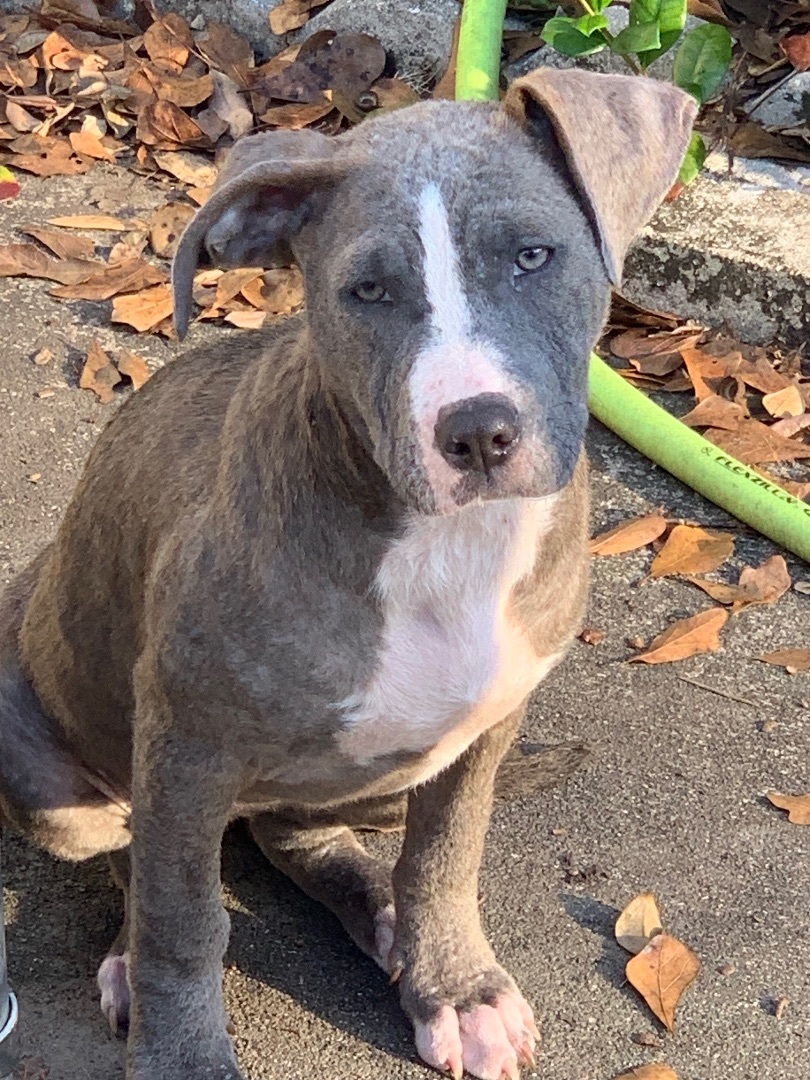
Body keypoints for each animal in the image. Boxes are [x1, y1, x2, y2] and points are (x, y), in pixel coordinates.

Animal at [0, 69, 699, 1080]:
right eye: (367, 290)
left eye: (533, 256)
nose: (478, 432)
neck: (447, 543)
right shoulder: (184, 741)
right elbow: (183, 919)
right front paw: (182, 1049)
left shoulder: (487, 727)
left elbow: (443, 859)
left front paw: (456, 989)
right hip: (57, 772)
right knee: (137, 856)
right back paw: (138, 957)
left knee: (302, 831)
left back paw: (383, 917)